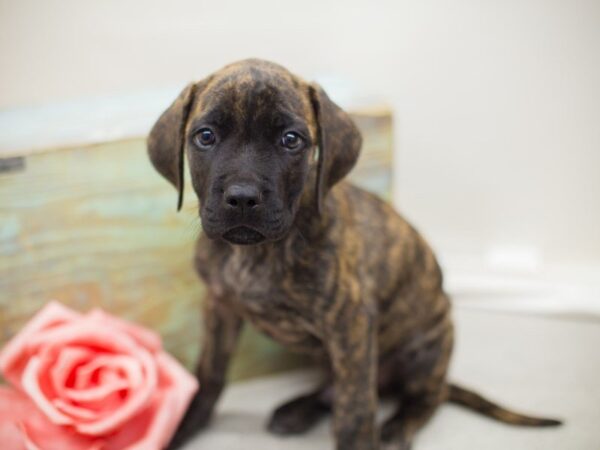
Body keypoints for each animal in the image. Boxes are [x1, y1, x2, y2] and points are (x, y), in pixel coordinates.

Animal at [148, 59, 560, 450]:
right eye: (205, 136)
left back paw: (396, 428)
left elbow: (355, 409)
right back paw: (299, 410)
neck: (256, 254)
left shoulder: (351, 323)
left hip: (424, 349)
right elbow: (209, 376)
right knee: (338, 388)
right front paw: (179, 426)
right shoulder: (220, 308)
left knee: (423, 398)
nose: (243, 198)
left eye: (291, 140)